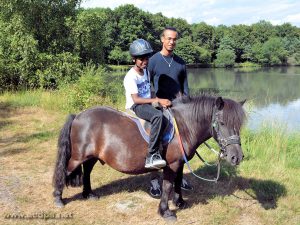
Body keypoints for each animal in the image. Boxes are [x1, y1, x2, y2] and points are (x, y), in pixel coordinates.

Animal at [52, 94, 246, 221]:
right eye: (222, 123)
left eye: (239, 125)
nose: (236, 157)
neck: (183, 127)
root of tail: (78, 115)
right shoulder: (172, 164)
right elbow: (167, 186)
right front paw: (165, 212)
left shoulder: (180, 163)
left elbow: (178, 182)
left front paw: (180, 202)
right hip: (77, 157)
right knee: (63, 171)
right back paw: (58, 198)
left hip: (90, 156)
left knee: (87, 172)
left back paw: (88, 194)